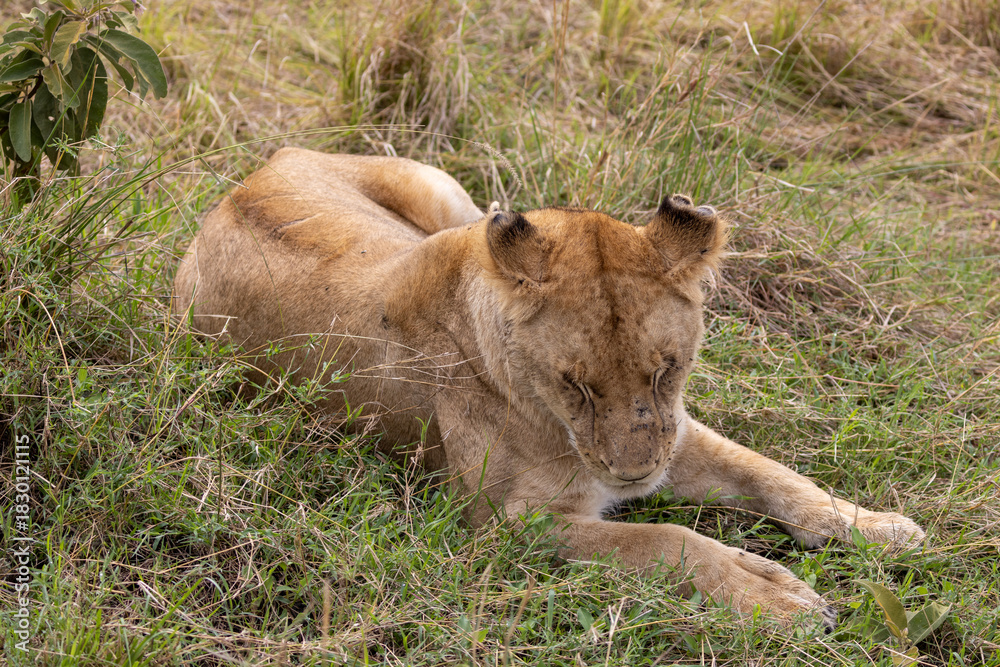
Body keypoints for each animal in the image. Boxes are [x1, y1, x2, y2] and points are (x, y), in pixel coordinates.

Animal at [173, 148, 924, 627]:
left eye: (668, 367)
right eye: (575, 384)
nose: (634, 477)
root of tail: (254, 174)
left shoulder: (674, 432)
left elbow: (774, 473)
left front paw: (877, 527)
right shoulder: (508, 524)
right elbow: (664, 541)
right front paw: (773, 595)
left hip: (459, 206)